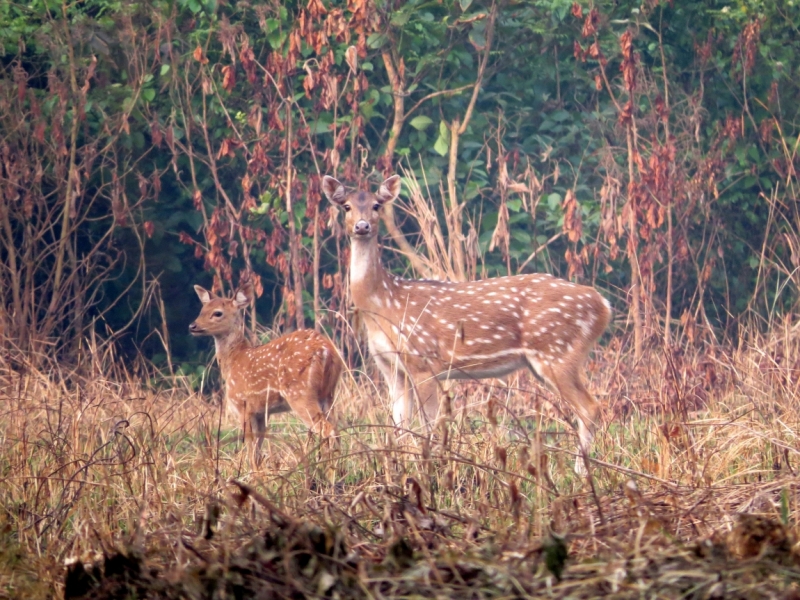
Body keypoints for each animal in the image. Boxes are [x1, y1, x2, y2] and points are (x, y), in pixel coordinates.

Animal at [190, 282, 340, 464]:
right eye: (202, 310)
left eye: (217, 313)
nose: (193, 326)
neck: (234, 360)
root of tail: (326, 351)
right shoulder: (261, 411)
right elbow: (258, 446)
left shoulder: (242, 404)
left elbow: (250, 445)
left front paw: (252, 470)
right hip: (327, 394)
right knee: (337, 429)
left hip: (300, 393)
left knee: (327, 429)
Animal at [322, 173, 608, 464]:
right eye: (346, 206)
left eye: (377, 205)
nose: (362, 226)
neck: (384, 302)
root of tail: (603, 304)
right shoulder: (390, 367)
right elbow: (400, 426)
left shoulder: (423, 360)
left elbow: (428, 425)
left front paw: (430, 465)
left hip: (557, 352)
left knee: (590, 408)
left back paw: (581, 470)